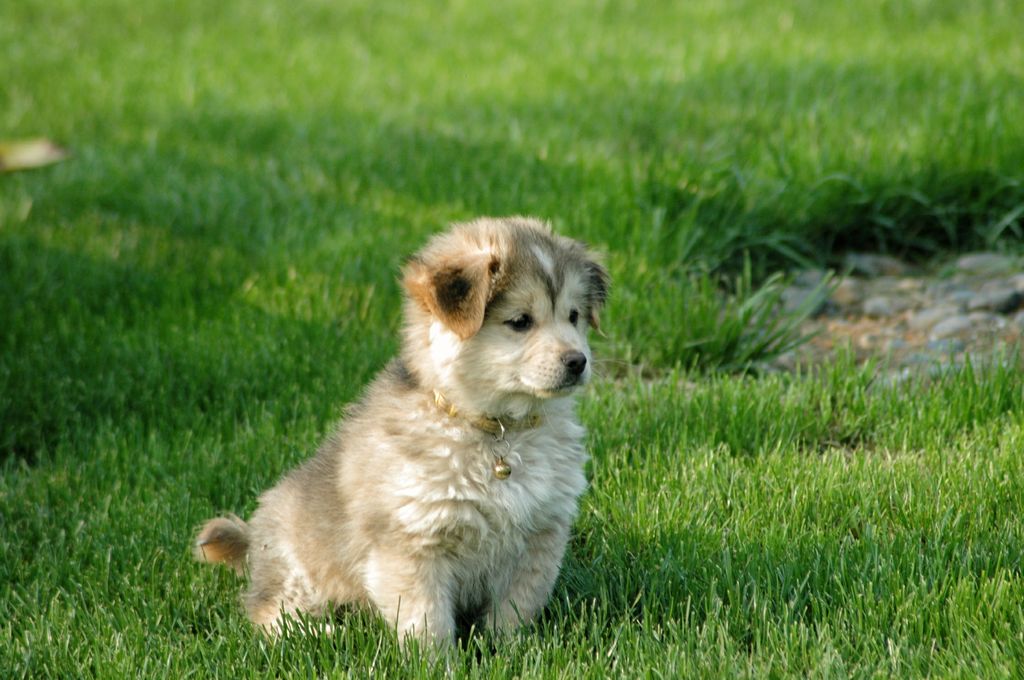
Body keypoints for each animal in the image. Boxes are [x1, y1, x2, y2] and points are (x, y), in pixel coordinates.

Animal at [192, 215, 606, 647]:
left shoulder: (540, 537)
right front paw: (439, 659)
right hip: (296, 570)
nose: (578, 361)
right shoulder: (412, 543)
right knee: (270, 614)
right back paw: (326, 634)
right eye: (521, 321)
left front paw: (508, 649)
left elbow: (515, 609)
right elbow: (428, 620)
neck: (498, 429)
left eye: (574, 316)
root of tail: (252, 540)